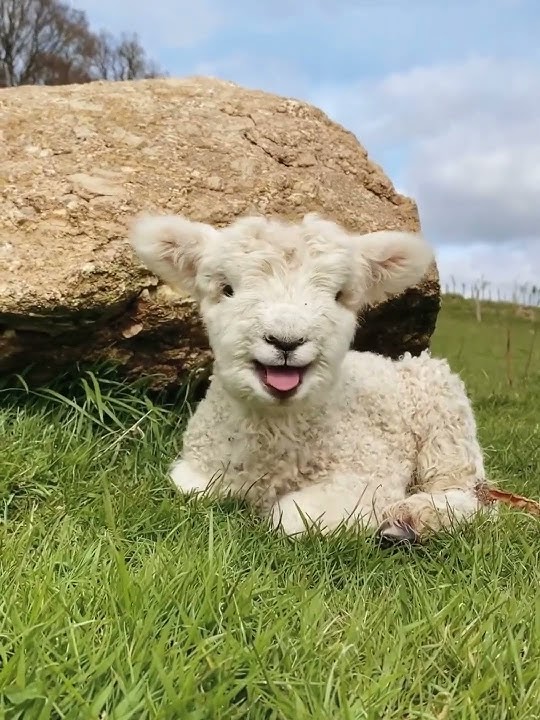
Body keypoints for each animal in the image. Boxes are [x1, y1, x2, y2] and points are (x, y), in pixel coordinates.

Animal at [129, 211, 491, 544]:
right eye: (226, 289)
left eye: (339, 295)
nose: (286, 340)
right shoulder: (197, 473)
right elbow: (192, 490)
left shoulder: (371, 474)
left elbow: (292, 517)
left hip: (445, 423)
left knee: (469, 497)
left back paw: (410, 519)